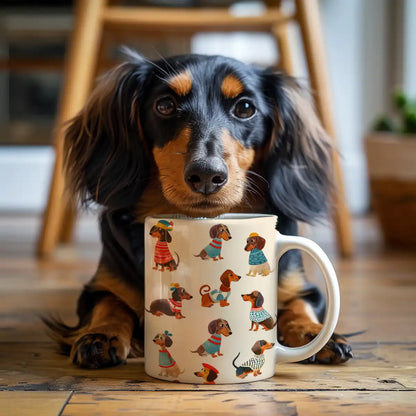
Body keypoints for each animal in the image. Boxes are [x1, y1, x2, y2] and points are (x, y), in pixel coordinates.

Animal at [44, 50, 352, 368]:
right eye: (165, 105)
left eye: (245, 108)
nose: (206, 174)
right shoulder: (101, 285)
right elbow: (110, 301)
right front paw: (101, 335)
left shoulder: (299, 285)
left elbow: (300, 302)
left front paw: (314, 332)